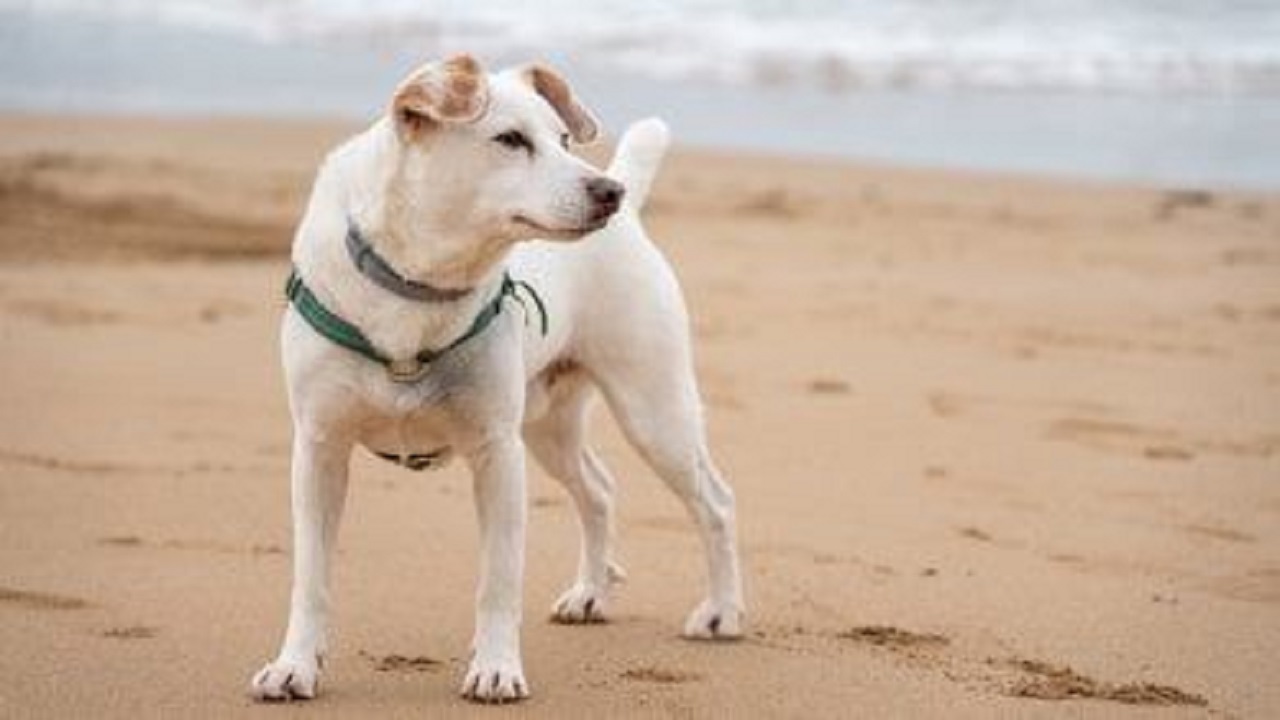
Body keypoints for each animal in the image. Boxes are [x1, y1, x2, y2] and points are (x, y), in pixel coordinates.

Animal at [249, 54, 747, 702]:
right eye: (510, 140)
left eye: (564, 139)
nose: (609, 193)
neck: (424, 284)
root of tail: (633, 218)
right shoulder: (319, 449)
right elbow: (311, 577)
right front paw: (295, 666)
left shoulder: (496, 453)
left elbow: (499, 580)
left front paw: (496, 668)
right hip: (549, 428)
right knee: (599, 489)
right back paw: (590, 594)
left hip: (653, 411)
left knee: (715, 502)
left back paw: (721, 613)